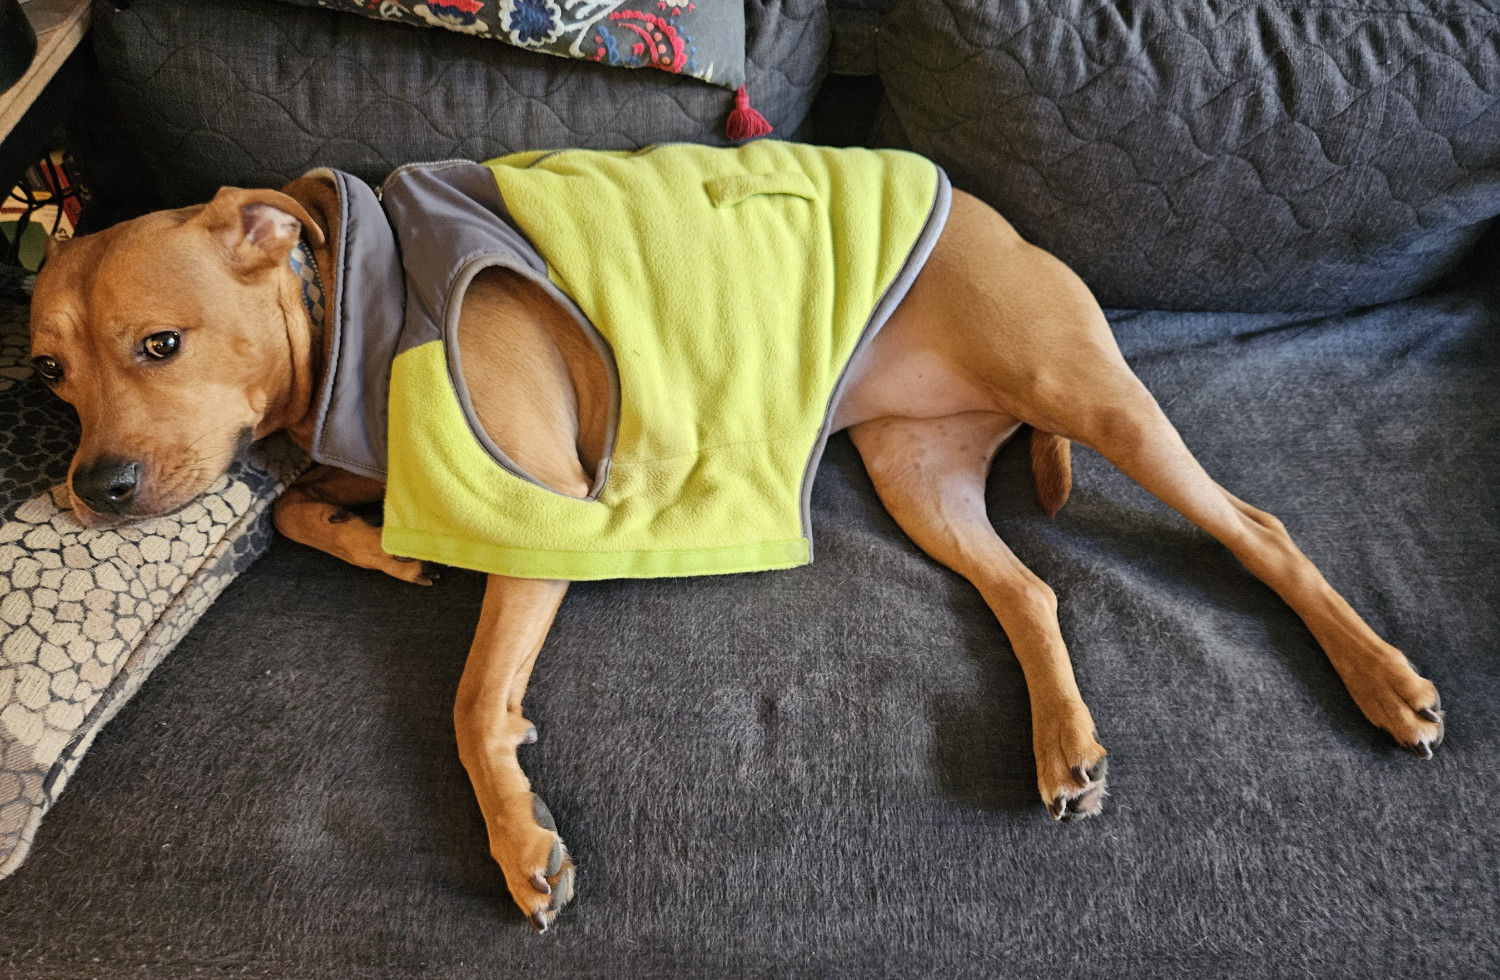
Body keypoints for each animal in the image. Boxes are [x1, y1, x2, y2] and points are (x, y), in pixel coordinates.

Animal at [26, 149, 1440, 930]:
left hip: (1094, 397)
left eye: (161, 342)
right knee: (1032, 590)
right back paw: (1064, 741)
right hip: (923, 476)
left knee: (1259, 527)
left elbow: (472, 700)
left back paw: (1384, 678)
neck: (348, 320)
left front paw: (519, 836)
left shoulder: (544, 512)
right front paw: (390, 543)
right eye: (48, 371)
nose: (91, 488)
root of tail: (990, 212)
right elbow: (301, 507)